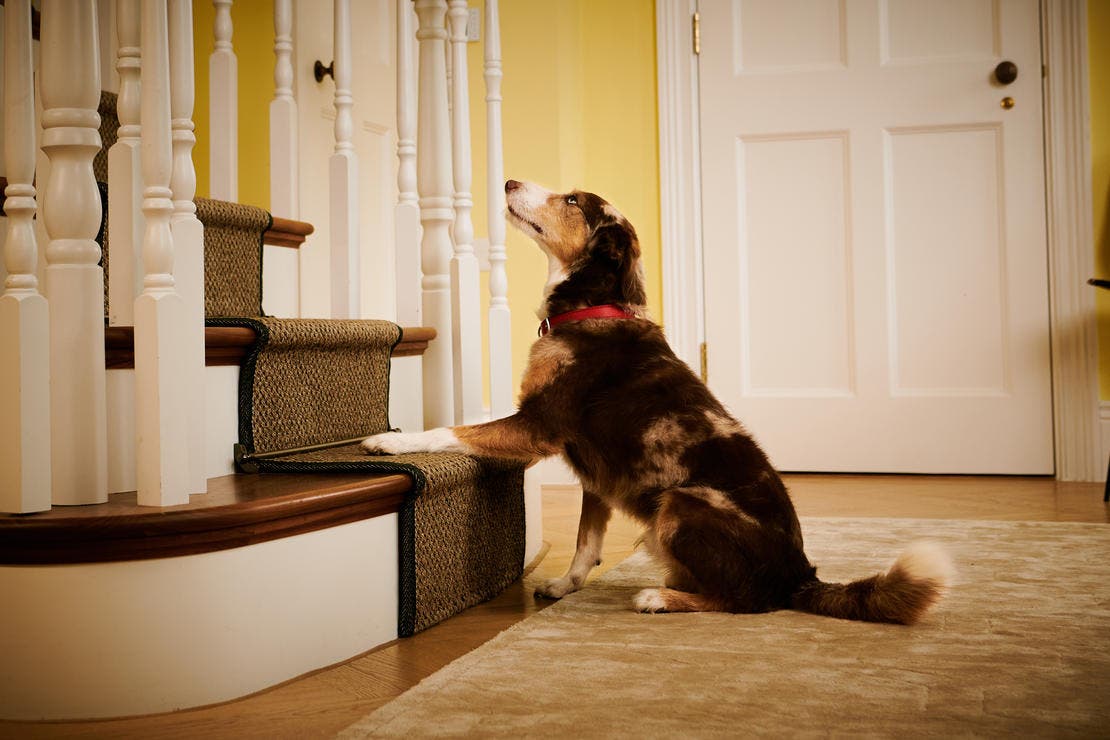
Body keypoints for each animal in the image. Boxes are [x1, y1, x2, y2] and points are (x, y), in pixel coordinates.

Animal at [366, 180, 954, 625]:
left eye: (573, 199)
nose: (508, 181)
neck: (592, 308)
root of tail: (799, 576)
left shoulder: (537, 425)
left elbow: (453, 430)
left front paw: (392, 442)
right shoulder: (595, 476)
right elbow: (585, 540)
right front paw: (565, 585)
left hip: (681, 504)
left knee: (744, 602)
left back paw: (660, 598)